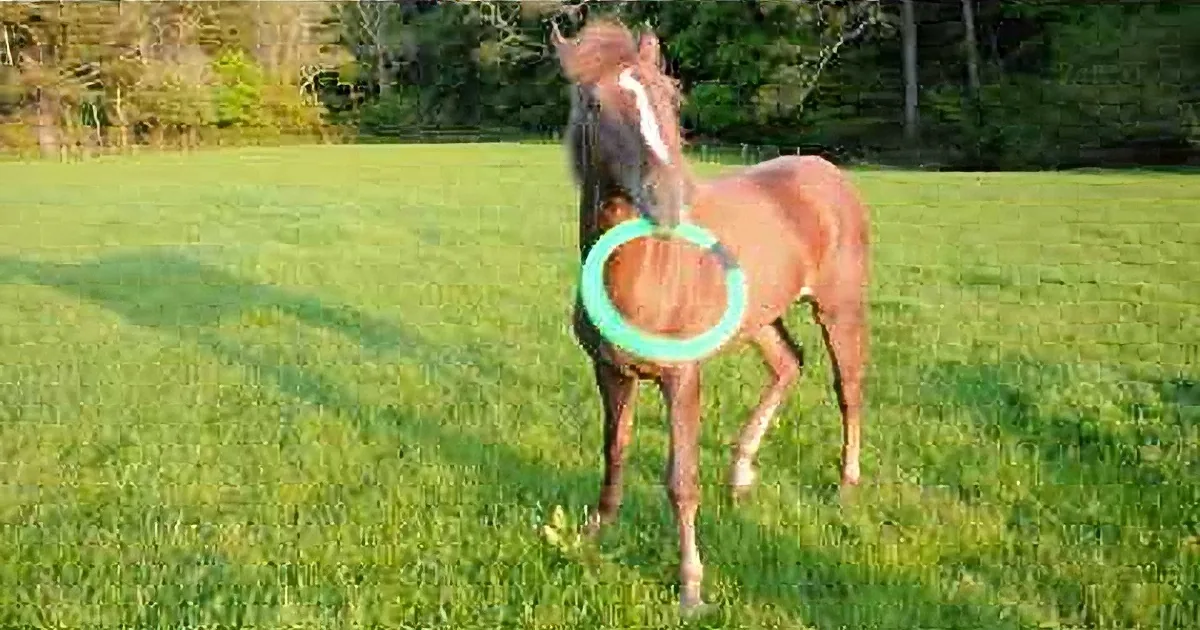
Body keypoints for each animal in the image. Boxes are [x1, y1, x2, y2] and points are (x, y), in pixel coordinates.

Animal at [550, 18, 870, 613]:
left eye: (668, 95)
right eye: (593, 103)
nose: (669, 199)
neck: (643, 275)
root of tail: (825, 170)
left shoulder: (682, 377)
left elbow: (681, 479)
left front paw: (691, 587)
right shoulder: (609, 371)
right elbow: (614, 451)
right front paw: (593, 535)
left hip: (839, 309)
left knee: (848, 387)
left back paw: (845, 485)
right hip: (760, 318)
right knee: (789, 364)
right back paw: (742, 474)